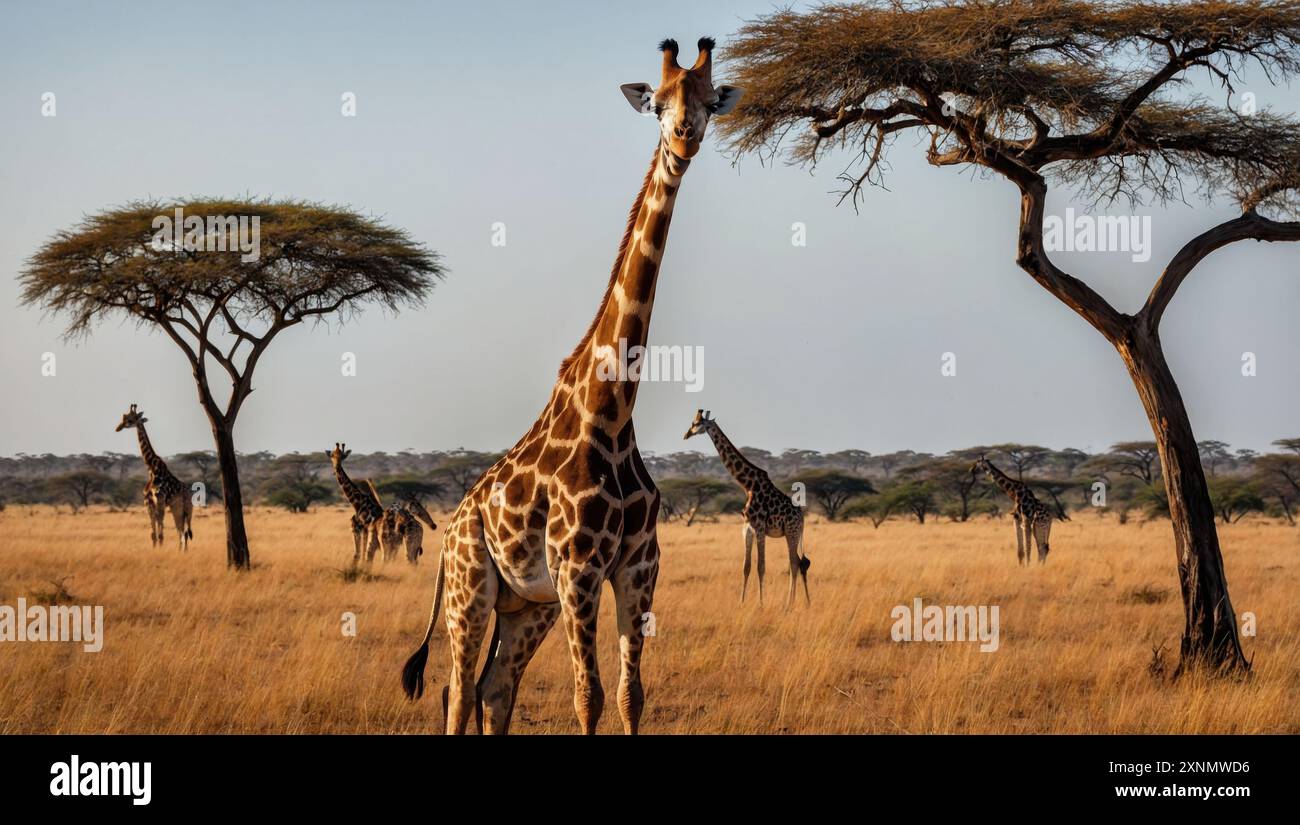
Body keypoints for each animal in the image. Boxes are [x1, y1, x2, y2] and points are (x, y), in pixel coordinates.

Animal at [115, 404, 193, 551]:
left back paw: (184, 552)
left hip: (187, 509)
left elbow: (161, 532)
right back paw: (181, 552)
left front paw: (160, 550)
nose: (118, 428)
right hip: (176, 509)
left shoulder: (160, 499)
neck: (151, 468)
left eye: (130, 420)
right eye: (123, 418)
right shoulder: (148, 501)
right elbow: (153, 534)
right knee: (181, 531)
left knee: (185, 532)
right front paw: (155, 549)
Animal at [400, 37, 744, 736]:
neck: (610, 411)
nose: (684, 139)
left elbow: (630, 695)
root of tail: (448, 532)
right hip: (472, 592)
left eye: (707, 102)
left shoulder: (638, 567)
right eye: (658, 103)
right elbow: (588, 696)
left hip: (528, 605)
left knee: (493, 687)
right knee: (456, 689)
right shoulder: (580, 568)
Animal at [684, 410, 810, 608]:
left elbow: (761, 566)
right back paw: (797, 602)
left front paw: (761, 603)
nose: (686, 435)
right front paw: (741, 602)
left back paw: (789, 604)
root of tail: (802, 518)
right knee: (798, 562)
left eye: (696, 424)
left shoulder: (759, 527)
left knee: (795, 563)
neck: (748, 485)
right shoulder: (747, 528)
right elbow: (746, 566)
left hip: (792, 532)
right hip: (792, 534)